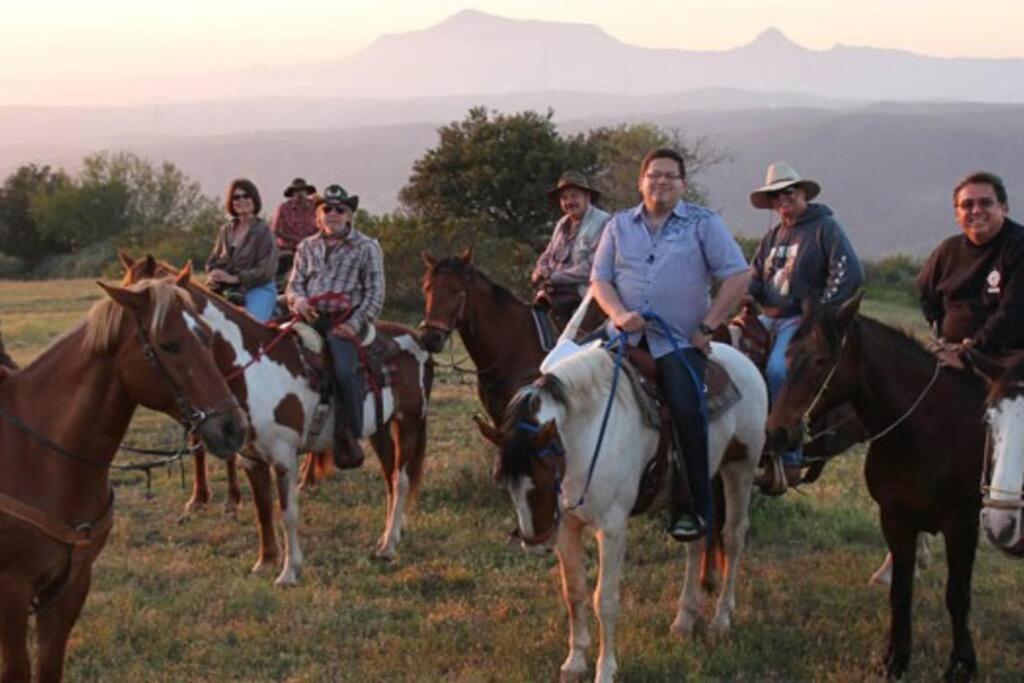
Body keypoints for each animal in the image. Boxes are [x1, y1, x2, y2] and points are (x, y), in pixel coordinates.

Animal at [0, 274, 245, 679]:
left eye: (209, 337)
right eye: (169, 344)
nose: (233, 428)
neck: (39, 456)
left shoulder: (69, 589)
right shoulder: (12, 594)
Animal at [121, 253, 434, 585]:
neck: (253, 369)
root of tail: (416, 339)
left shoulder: (284, 456)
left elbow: (287, 513)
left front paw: (289, 571)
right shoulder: (250, 457)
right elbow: (263, 509)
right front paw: (266, 561)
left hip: (409, 421)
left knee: (401, 479)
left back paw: (388, 546)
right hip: (380, 429)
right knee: (389, 477)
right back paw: (389, 535)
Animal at [475, 344, 765, 683]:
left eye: (543, 478)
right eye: (503, 482)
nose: (536, 543)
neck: (587, 435)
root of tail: (740, 357)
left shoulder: (612, 528)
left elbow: (605, 600)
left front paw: (605, 669)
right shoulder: (567, 526)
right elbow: (574, 591)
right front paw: (575, 662)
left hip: (740, 467)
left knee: (733, 537)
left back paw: (721, 620)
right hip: (700, 482)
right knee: (697, 542)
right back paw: (684, 620)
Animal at [765, 294, 987, 683]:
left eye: (821, 360)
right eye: (789, 356)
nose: (777, 431)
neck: (929, 431)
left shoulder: (963, 525)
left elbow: (957, 595)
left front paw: (962, 664)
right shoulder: (896, 520)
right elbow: (901, 591)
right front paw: (895, 659)